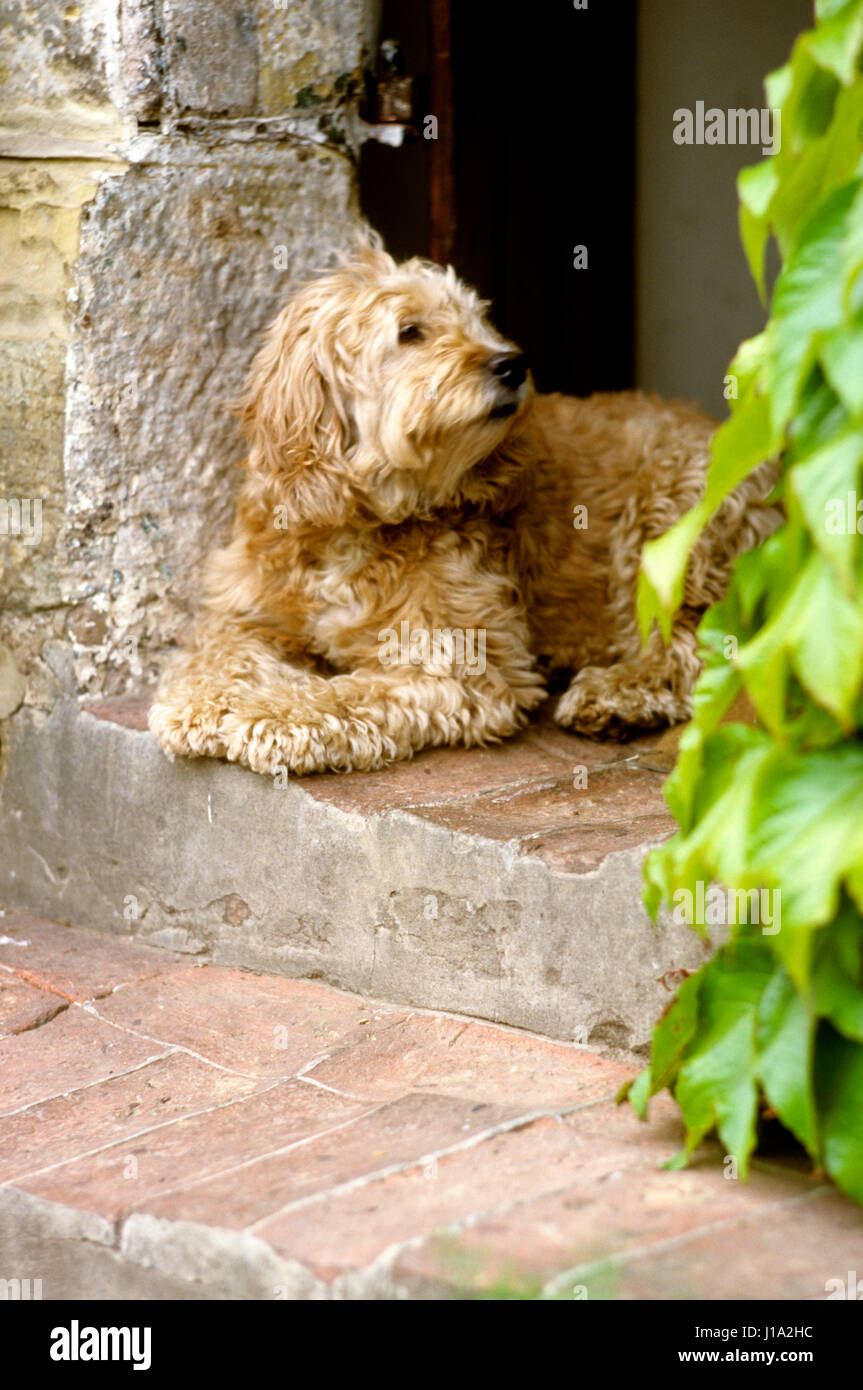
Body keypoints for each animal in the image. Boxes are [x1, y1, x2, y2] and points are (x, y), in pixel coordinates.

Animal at [150, 241, 778, 783]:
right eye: (410, 332)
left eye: (478, 322)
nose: (513, 364)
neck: (357, 521)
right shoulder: (243, 611)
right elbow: (217, 654)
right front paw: (199, 701)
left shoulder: (454, 662)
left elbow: (348, 692)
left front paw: (270, 715)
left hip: (671, 524)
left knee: (699, 649)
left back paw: (615, 693)